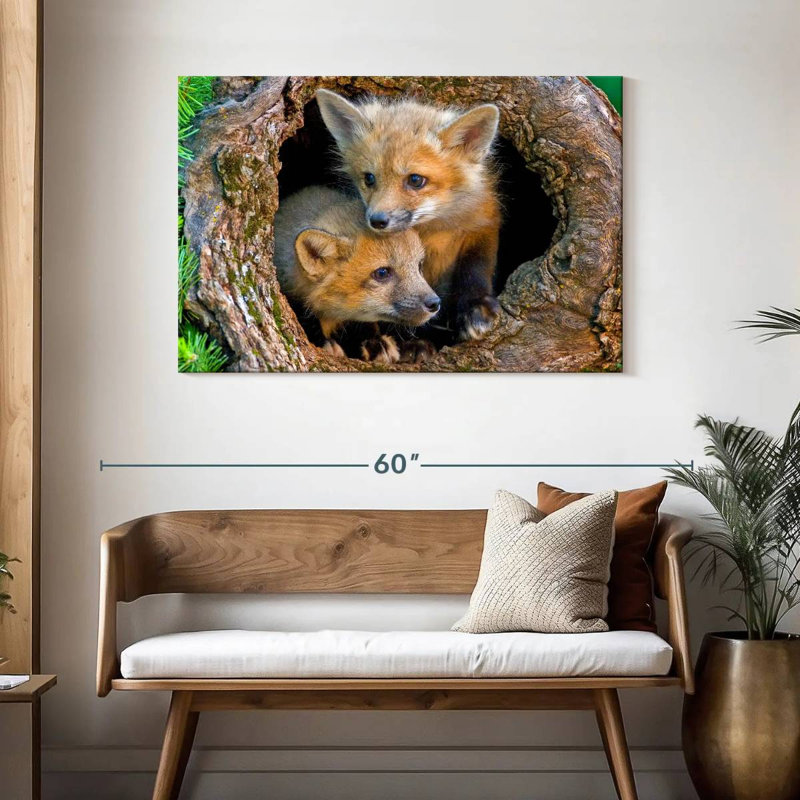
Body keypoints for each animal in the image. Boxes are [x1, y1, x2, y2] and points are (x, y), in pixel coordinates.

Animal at [315, 88, 502, 342]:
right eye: (369, 178)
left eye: (415, 180)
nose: (377, 220)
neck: (433, 232)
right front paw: (414, 344)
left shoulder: (482, 223)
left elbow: (476, 268)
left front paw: (475, 307)